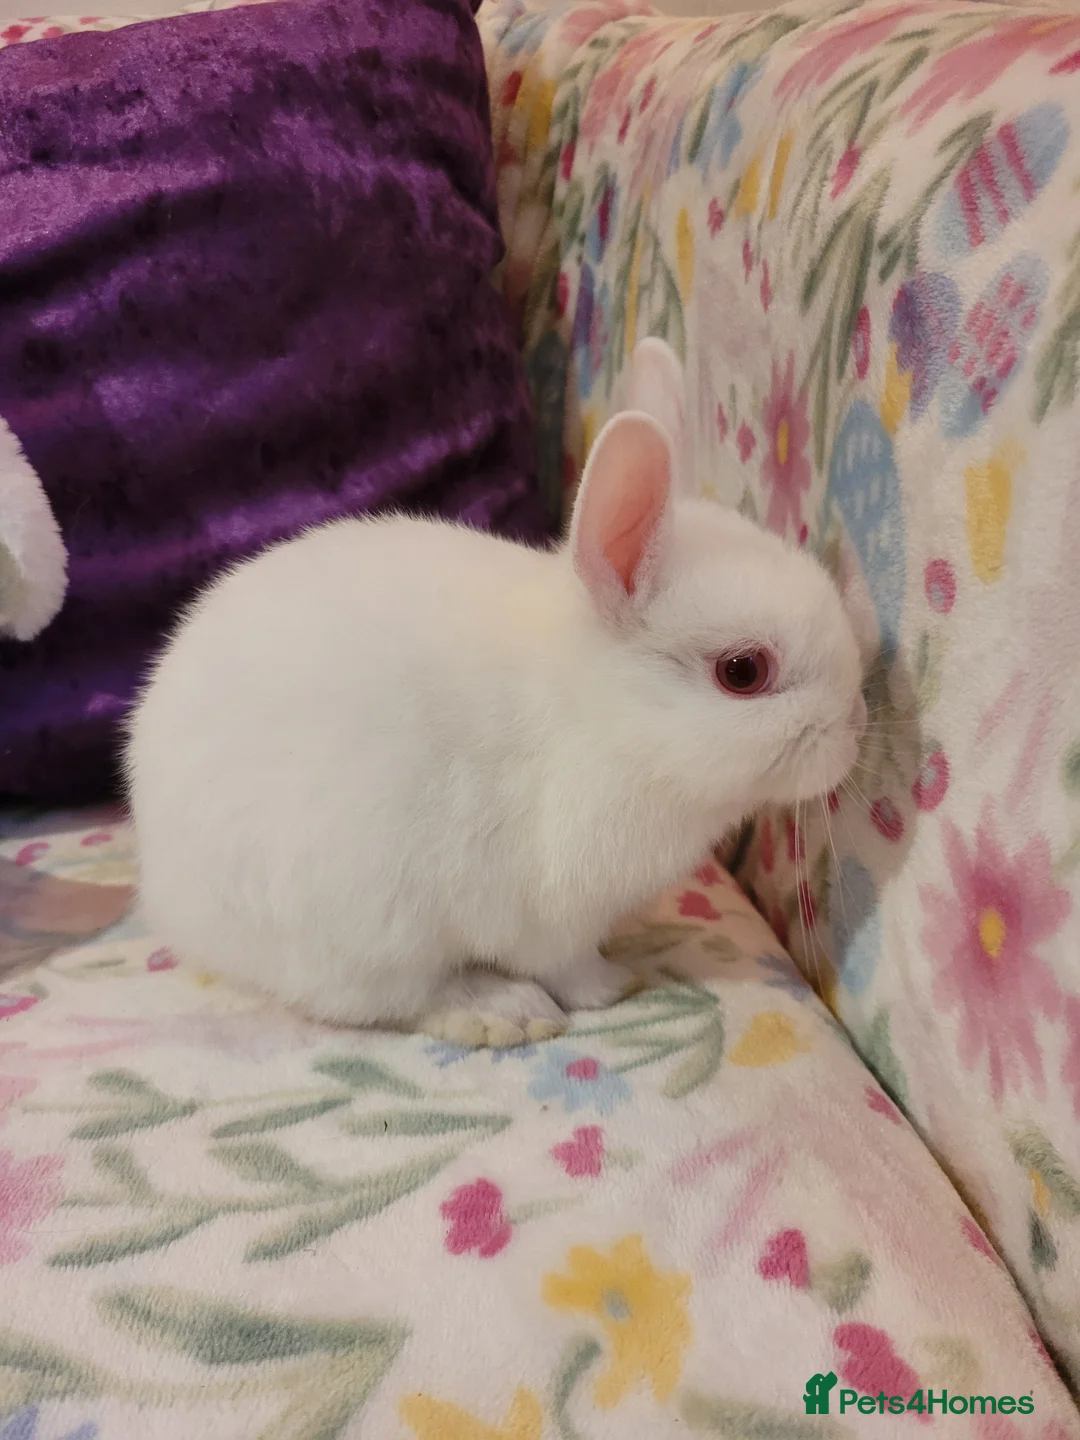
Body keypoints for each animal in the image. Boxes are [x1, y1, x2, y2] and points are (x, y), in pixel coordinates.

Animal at [125, 338, 866, 1048]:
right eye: (743, 672)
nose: (857, 725)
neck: (609, 719)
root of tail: (168, 891)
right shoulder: (557, 910)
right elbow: (571, 968)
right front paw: (619, 984)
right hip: (359, 924)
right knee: (393, 999)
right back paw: (504, 1012)